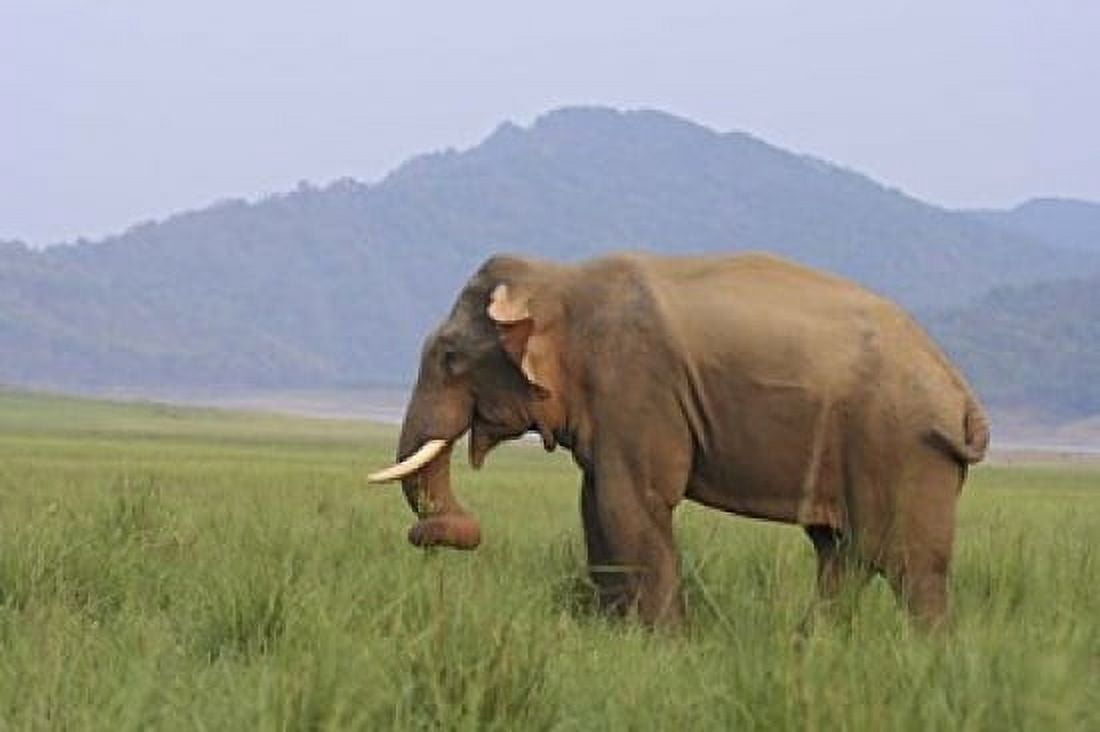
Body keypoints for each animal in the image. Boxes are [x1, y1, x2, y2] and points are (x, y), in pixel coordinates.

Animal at [369, 252, 989, 628]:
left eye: (450, 358)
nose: (427, 539)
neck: (562, 278)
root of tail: (961, 395)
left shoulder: (636, 384)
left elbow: (629, 504)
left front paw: (661, 643)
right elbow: (595, 505)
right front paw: (614, 635)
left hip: (904, 449)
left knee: (908, 566)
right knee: (842, 554)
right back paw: (814, 646)